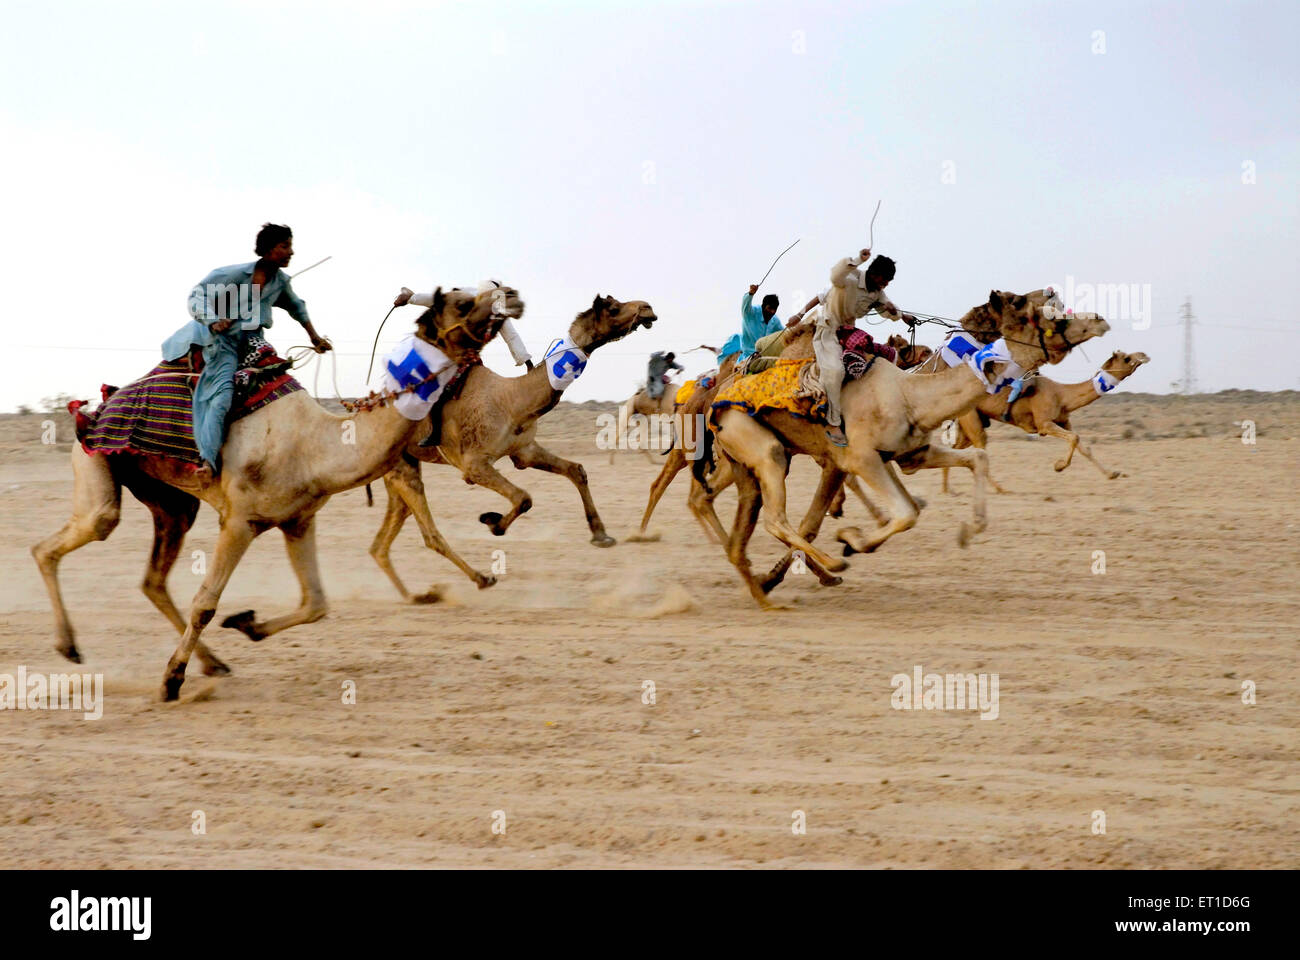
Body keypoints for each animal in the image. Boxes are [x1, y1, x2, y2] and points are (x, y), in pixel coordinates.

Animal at [35, 283, 514, 697]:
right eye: (462, 302)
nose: (508, 294)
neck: (318, 446)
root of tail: (91, 407)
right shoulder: (240, 520)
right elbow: (206, 602)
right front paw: (170, 682)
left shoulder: (298, 520)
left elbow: (316, 603)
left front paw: (247, 624)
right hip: (94, 462)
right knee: (65, 539)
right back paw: (71, 647)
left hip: (172, 504)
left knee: (152, 579)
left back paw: (212, 663)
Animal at [366, 291, 655, 598]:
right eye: (612, 307)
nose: (647, 308)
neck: (512, 400)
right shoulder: (474, 465)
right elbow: (523, 497)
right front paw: (492, 522)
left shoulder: (524, 450)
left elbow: (576, 470)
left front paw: (601, 535)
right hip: (400, 467)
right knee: (426, 532)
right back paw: (476, 580)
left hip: (400, 466)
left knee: (382, 541)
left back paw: (417, 596)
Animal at [702, 290, 1107, 606]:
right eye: (1037, 313)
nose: (1099, 319)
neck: (909, 395)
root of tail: (716, 399)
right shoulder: (859, 458)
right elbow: (903, 513)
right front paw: (850, 542)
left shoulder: (908, 454)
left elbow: (969, 463)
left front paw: (968, 530)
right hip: (758, 443)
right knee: (774, 515)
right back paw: (830, 566)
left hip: (750, 459)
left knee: (741, 519)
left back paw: (764, 584)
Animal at [941, 348, 1154, 489]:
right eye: (1126, 358)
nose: (1144, 355)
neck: (1062, 395)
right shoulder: (1044, 424)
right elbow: (1074, 438)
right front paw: (1059, 466)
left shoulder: (1064, 421)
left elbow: (1082, 445)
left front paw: (1112, 474)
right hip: (971, 419)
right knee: (979, 450)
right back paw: (1000, 489)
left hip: (971, 422)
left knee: (955, 448)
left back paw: (947, 490)